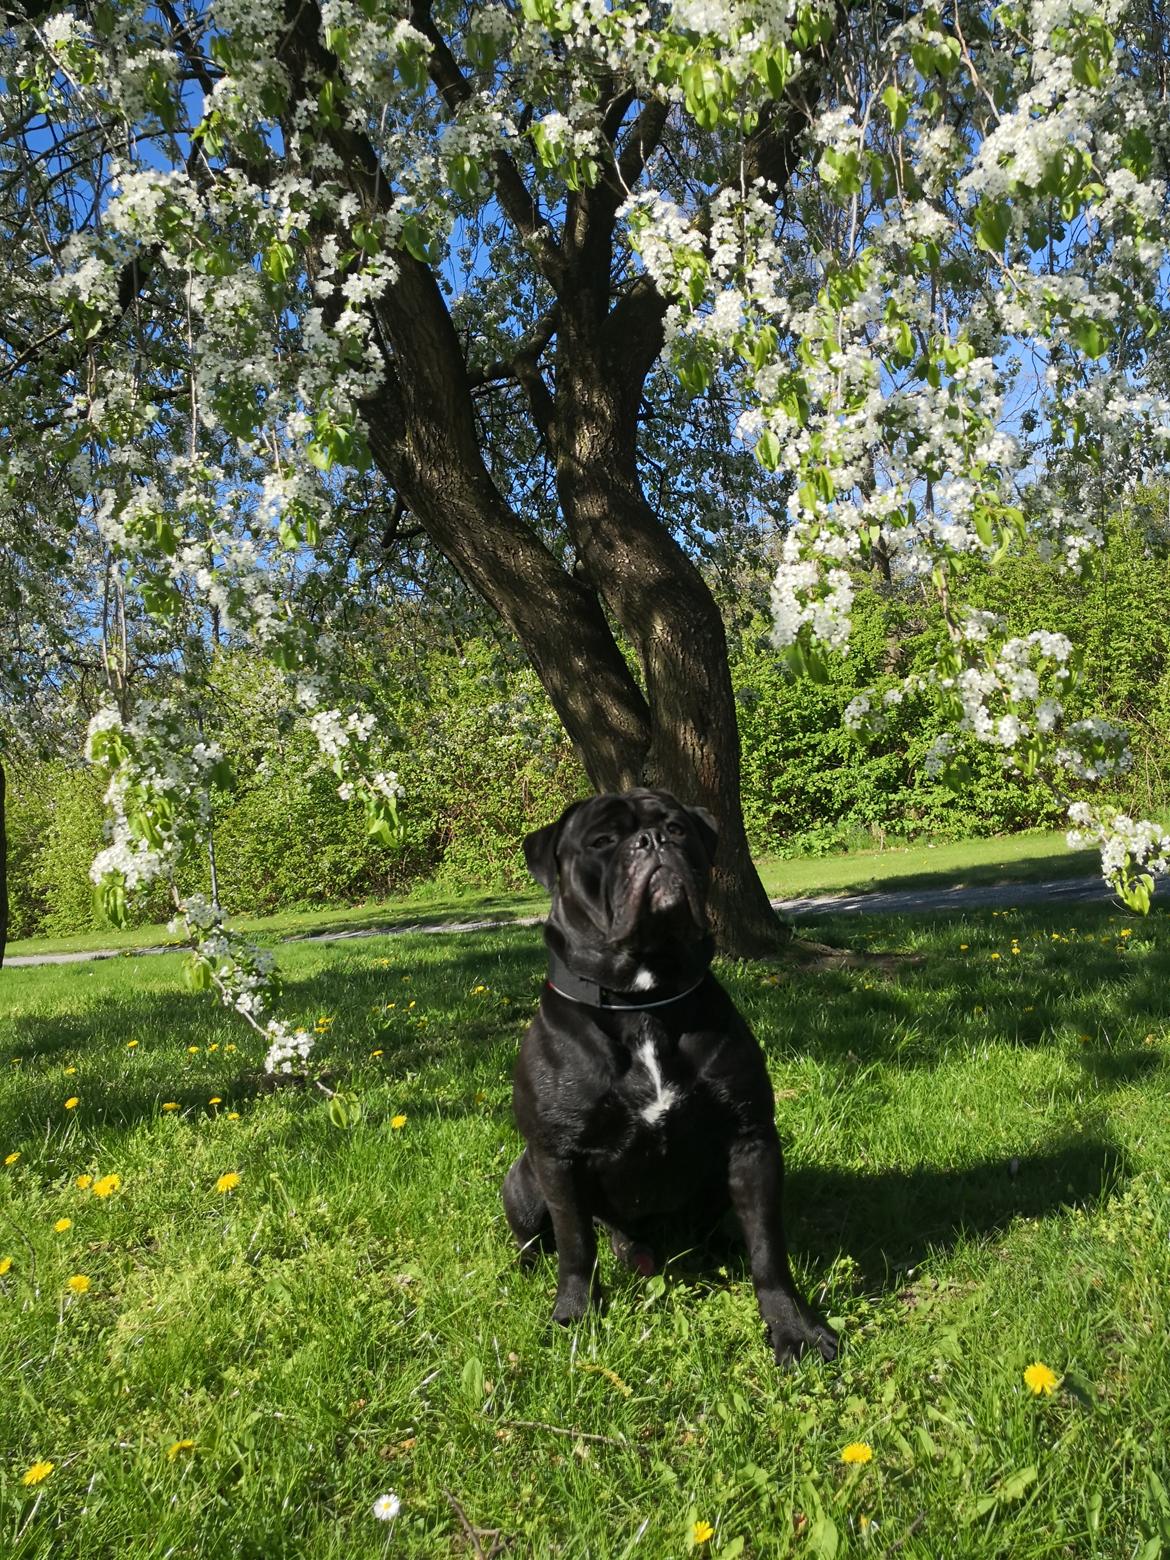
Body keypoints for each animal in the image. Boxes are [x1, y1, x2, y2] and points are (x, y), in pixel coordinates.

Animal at [499, 792, 836, 1366]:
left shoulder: (751, 1142)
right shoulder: (558, 1158)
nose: (653, 841)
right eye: (602, 841)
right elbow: (575, 1247)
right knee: (543, 1240)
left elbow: (769, 1250)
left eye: (677, 828)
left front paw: (795, 1329)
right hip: (523, 1180)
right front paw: (574, 1315)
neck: (644, 1001)